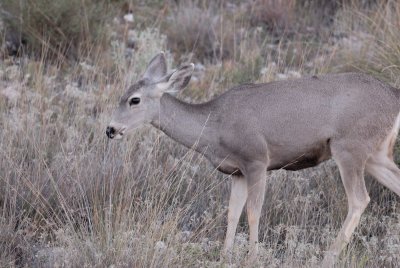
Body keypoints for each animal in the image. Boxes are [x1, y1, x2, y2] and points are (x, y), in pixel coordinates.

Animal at [106, 52, 400, 266]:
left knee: (359, 199)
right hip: (376, 154)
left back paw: (328, 257)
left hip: (349, 146)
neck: (215, 127)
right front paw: (225, 256)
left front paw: (252, 257)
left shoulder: (257, 159)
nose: (110, 129)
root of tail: (394, 98)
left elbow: (253, 212)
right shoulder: (237, 171)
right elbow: (232, 213)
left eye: (134, 100)